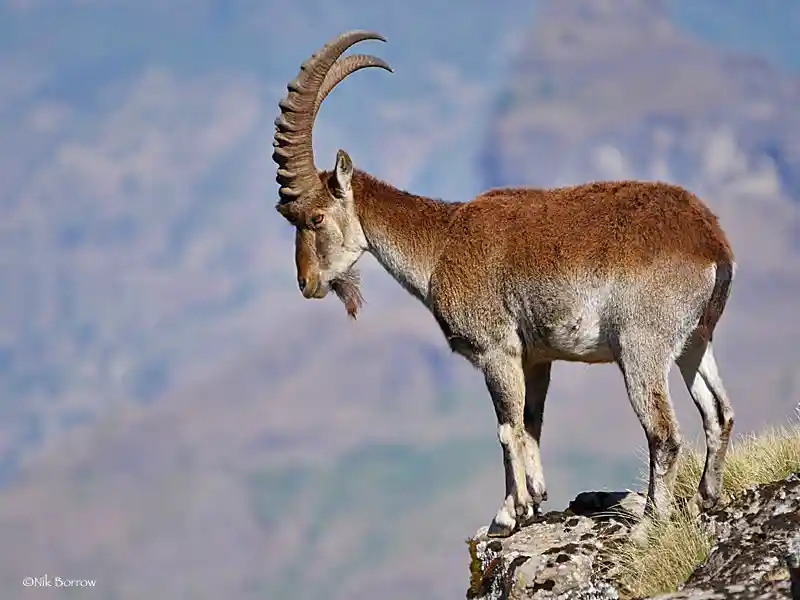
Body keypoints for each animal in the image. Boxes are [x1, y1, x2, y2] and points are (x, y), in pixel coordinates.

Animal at [272, 30, 736, 537]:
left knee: (664, 431)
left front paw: (507, 514)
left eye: (315, 217)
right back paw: (706, 498)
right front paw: (535, 500)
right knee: (719, 413)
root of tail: (711, 243)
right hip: (695, 341)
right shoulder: (536, 357)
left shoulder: (496, 349)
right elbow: (530, 424)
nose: (306, 282)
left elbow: (505, 428)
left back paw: (652, 518)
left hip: (641, 345)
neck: (443, 243)